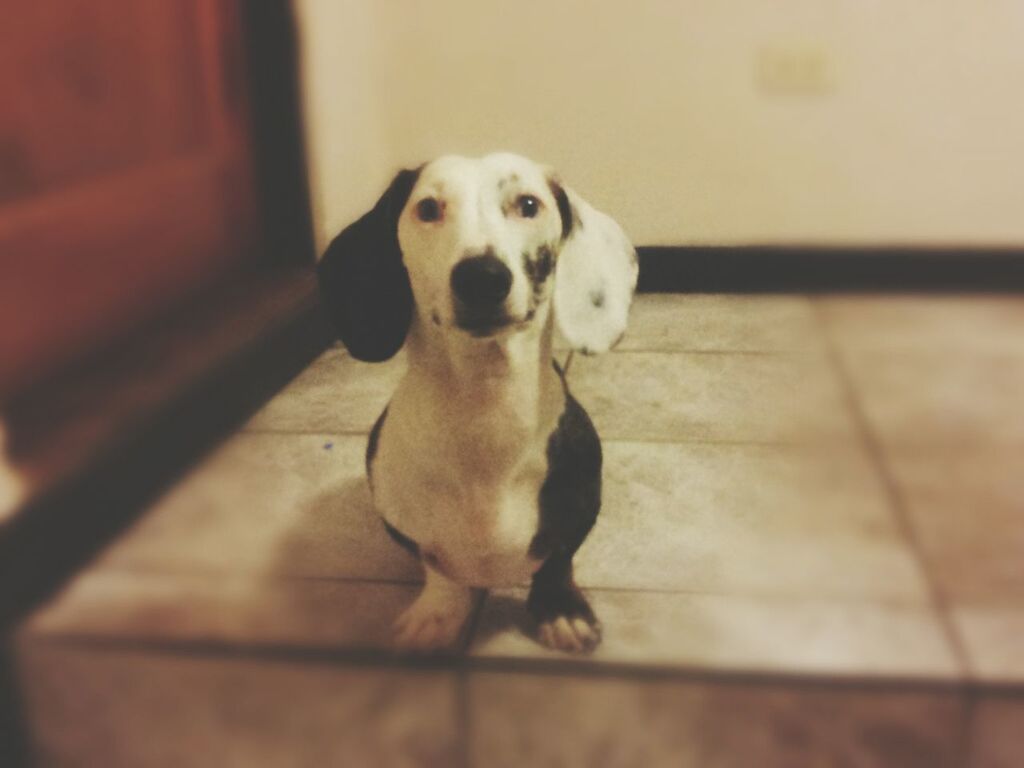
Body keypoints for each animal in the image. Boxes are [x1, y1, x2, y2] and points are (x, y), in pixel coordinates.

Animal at [319, 153, 634, 651]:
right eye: (428, 208)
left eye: (529, 204)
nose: (482, 278)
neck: (486, 412)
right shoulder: (404, 522)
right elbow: (438, 569)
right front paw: (438, 614)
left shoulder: (579, 507)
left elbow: (558, 561)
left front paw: (560, 610)